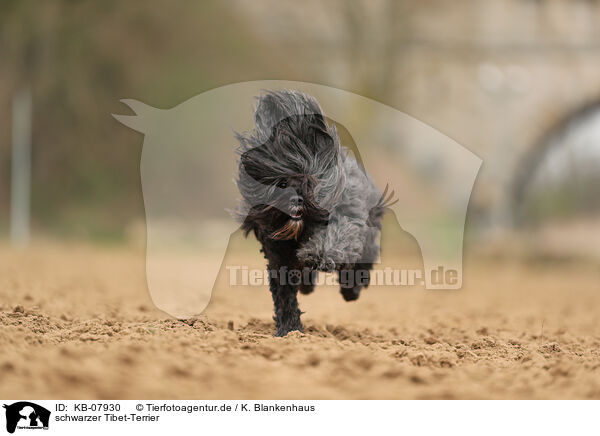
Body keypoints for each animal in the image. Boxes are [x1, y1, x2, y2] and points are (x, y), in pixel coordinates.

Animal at [234, 89, 394, 338]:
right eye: (281, 182)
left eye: (308, 181)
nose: (295, 200)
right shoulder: (278, 257)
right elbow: (284, 295)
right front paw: (289, 329)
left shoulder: (346, 221)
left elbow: (333, 239)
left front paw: (315, 253)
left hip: (367, 237)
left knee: (360, 263)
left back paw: (351, 289)